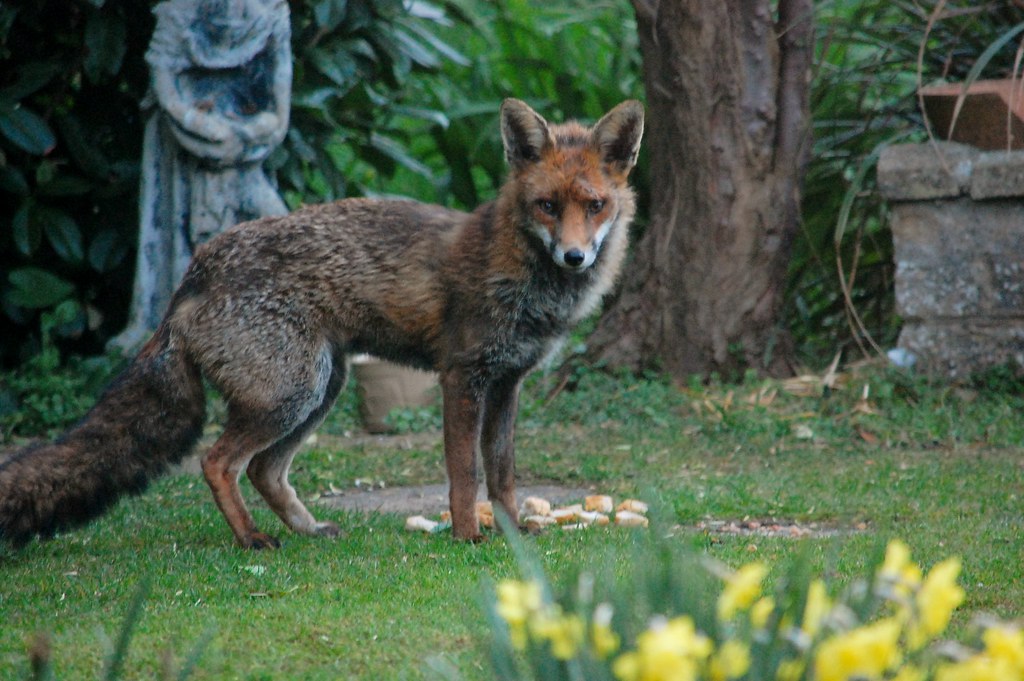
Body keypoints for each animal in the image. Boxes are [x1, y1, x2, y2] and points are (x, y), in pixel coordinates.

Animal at [0, 98, 644, 549]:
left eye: (595, 206)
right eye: (546, 207)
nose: (574, 257)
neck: (526, 282)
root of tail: (195, 270)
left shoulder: (508, 382)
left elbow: (504, 473)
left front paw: (513, 532)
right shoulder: (462, 377)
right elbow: (465, 473)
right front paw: (468, 535)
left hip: (319, 390)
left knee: (264, 470)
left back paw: (307, 531)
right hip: (291, 392)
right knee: (218, 462)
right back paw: (252, 539)